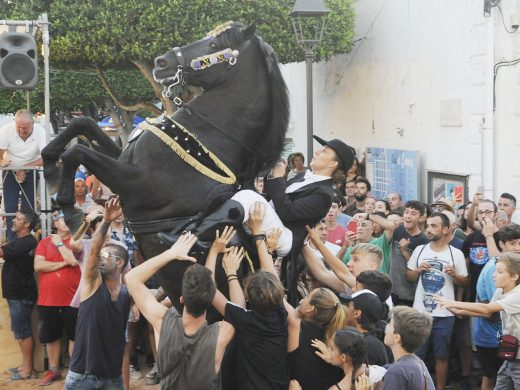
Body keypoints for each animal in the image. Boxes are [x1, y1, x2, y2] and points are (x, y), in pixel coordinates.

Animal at [41, 22, 288, 304]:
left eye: (214, 45)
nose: (162, 62)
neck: (209, 138)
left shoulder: (138, 183)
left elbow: (77, 152)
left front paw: (71, 212)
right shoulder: (122, 158)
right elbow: (81, 124)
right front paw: (49, 165)